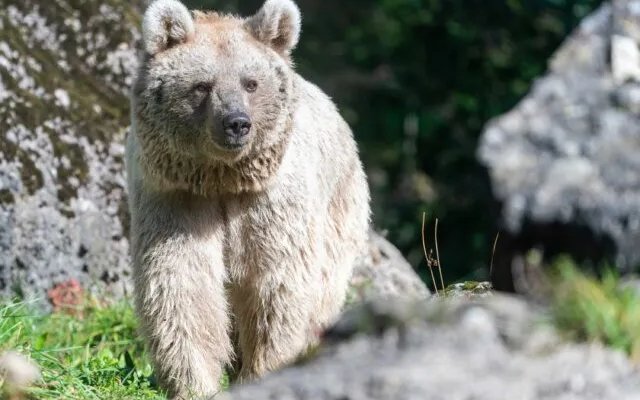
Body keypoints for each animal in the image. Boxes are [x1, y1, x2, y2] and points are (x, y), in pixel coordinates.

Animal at [126, 0, 370, 396]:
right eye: (201, 85)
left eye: (250, 82)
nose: (237, 123)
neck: (223, 179)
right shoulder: (176, 199)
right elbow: (181, 283)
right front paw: (195, 384)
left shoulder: (269, 201)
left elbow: (275, 284)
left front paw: (264, 369)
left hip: (340, 208)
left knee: (324, 291)